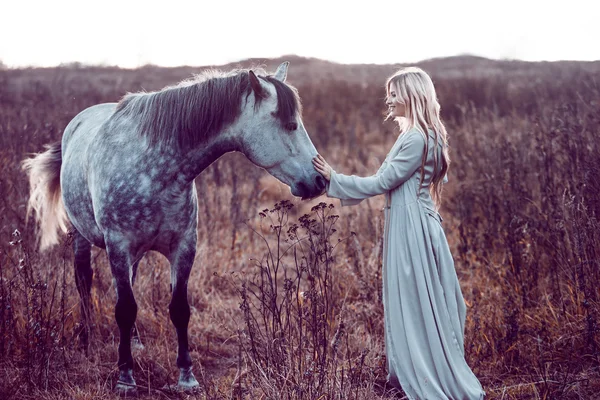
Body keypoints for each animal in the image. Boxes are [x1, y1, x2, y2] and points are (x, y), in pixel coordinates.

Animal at [21, 61, 326, 392]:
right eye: (290, 125)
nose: (320, 180)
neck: (156, 168)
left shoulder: (183, 247)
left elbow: (178, 309)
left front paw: (186, 376)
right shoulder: (118, 246)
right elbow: (124, 309)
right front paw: (126, 378)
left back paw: (135, 342)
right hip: (82, 237)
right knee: (84, 280)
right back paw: (87, 338)